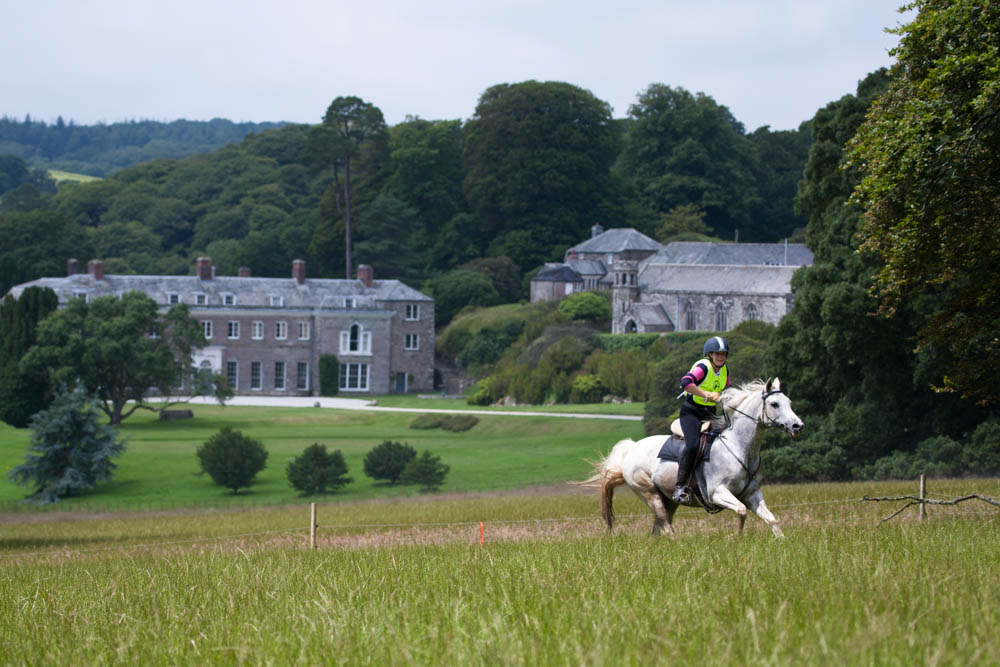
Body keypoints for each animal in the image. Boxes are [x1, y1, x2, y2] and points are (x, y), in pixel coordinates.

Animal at [584, 378, 800, 540]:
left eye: (789, 403)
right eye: (774, 404)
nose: (798, 426)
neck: (739, 448)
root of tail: (631, 449)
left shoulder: (752, 494)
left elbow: (771, 518)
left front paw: (782, 541)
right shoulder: (717, 493)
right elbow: (741, 511)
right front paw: (735, 538)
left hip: (668, 498)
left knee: (658, 528)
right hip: (649, 493)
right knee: (664, 526)